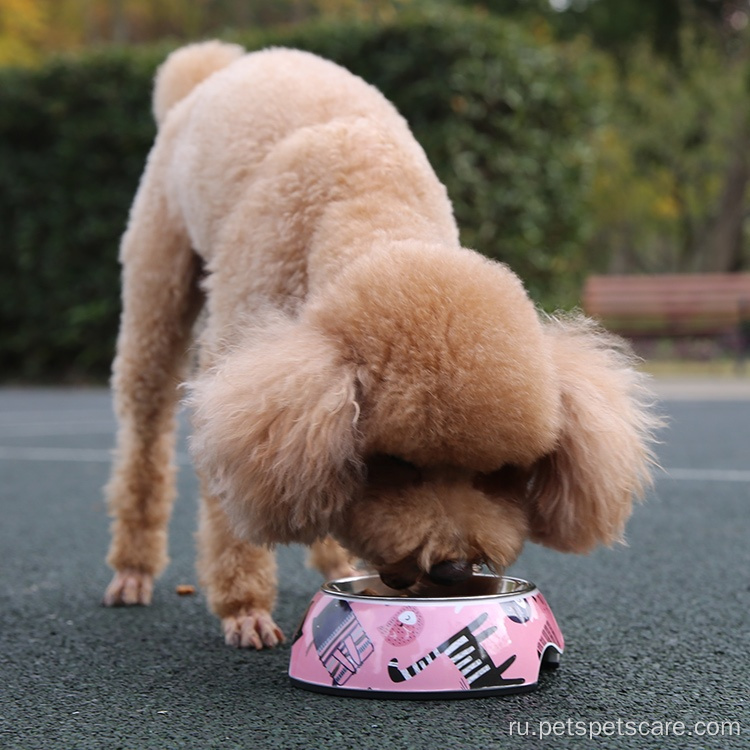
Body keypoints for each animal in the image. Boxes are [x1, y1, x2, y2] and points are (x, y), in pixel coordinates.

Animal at [104, 42, 656, 652]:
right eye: (396, 463)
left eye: (500, 472)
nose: (453, 571)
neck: (365, 201)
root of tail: (216, 67)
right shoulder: (240, 375)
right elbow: (232, 508)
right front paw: (244, 607)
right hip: (157, 279)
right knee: (145, 427)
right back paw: (132, 567)